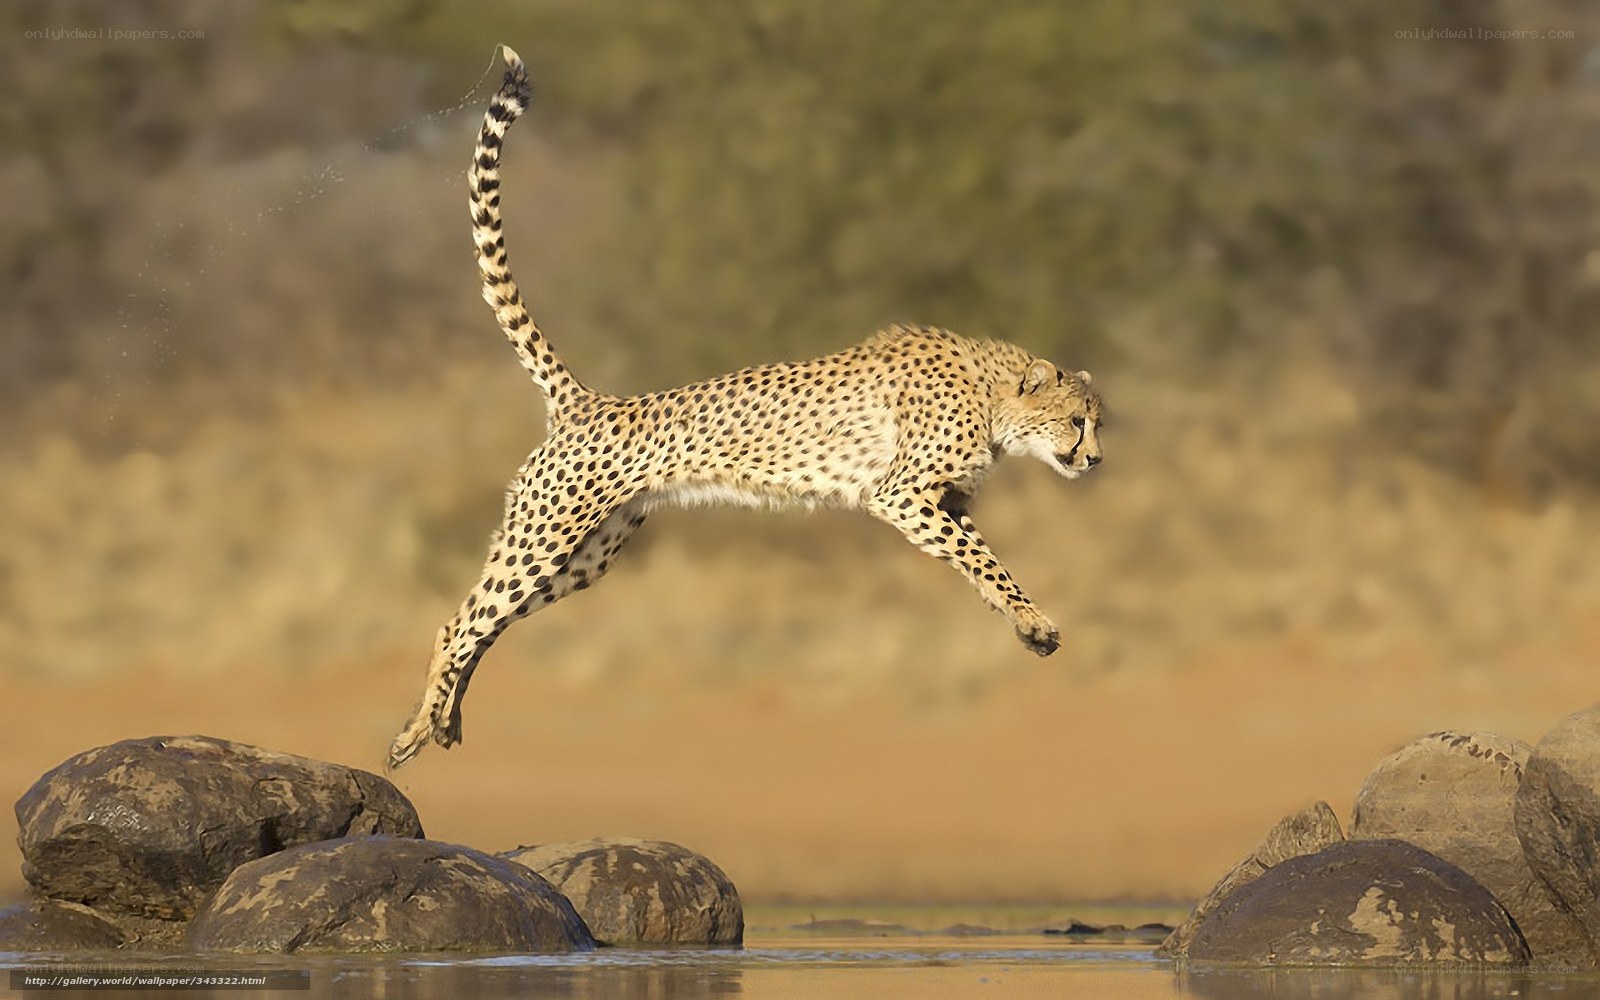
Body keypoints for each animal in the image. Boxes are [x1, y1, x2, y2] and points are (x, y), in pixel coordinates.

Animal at [388, 45, 1105, 769]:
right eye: (1077, 422)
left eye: (1098, 423)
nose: (1095, 460)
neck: (993, 394)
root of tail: (589, 401)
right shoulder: (898, 494)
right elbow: (984, 559)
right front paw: (1034, 620)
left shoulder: (943, 502)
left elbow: (980, 558)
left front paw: (1026, 626)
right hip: (546, 533)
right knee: (459, 623)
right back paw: (418, 729)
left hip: (587, 554)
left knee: (484, 624)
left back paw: (440, 724)